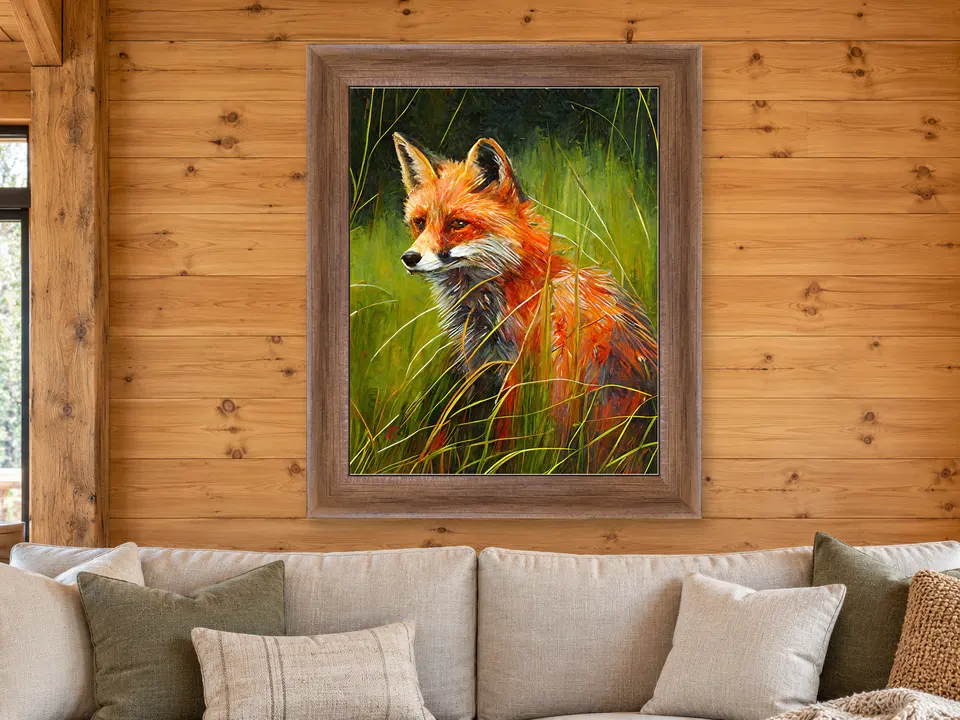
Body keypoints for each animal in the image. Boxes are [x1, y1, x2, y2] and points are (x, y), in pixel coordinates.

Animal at [393, 132, 658, 470]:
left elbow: (505, 441)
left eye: (457, 224)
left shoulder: (518, 375)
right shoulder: (484, 371)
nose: (410, 258)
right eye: (420, 222)